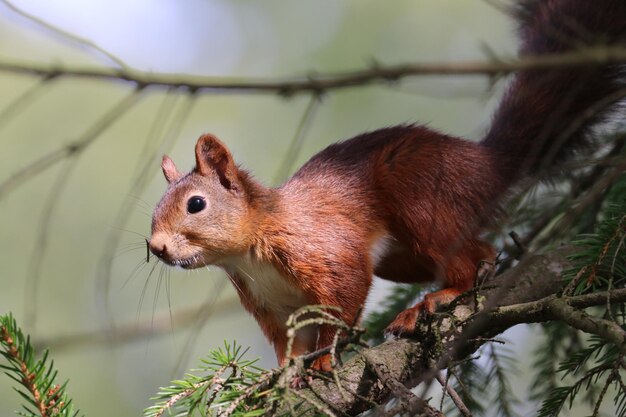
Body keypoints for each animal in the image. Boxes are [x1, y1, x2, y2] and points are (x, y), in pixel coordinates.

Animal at [149, 0, 620, 370]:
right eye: (153, 211)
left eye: (195, 204)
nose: (156, 247)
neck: (249, 250)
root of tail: (487, 164)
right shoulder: (272, 305)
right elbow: (287, 346)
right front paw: (277, 381)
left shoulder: (324, 252)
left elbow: (343, 301)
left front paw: (322, 362)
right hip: (402, 258)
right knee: (481, 248)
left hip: (421, 201)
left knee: (465, 262)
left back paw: (435, 299)